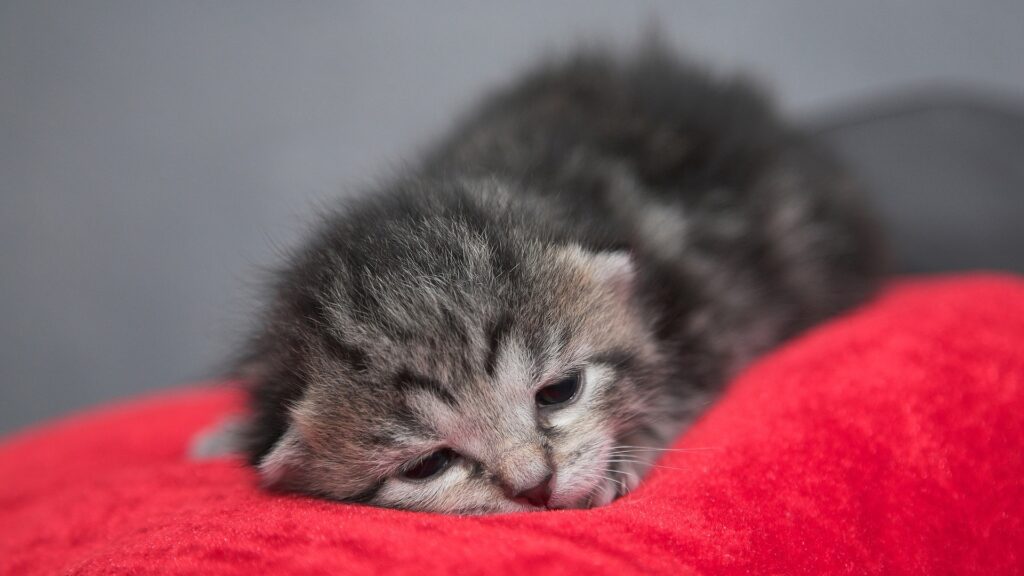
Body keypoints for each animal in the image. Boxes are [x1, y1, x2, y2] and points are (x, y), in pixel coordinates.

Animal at [195, 45, 884, 510]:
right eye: (429, 465)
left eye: (559, 391)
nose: (536, 484)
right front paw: (228, 434)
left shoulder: (705, 303)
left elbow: (677, 382)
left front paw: (621, 460)